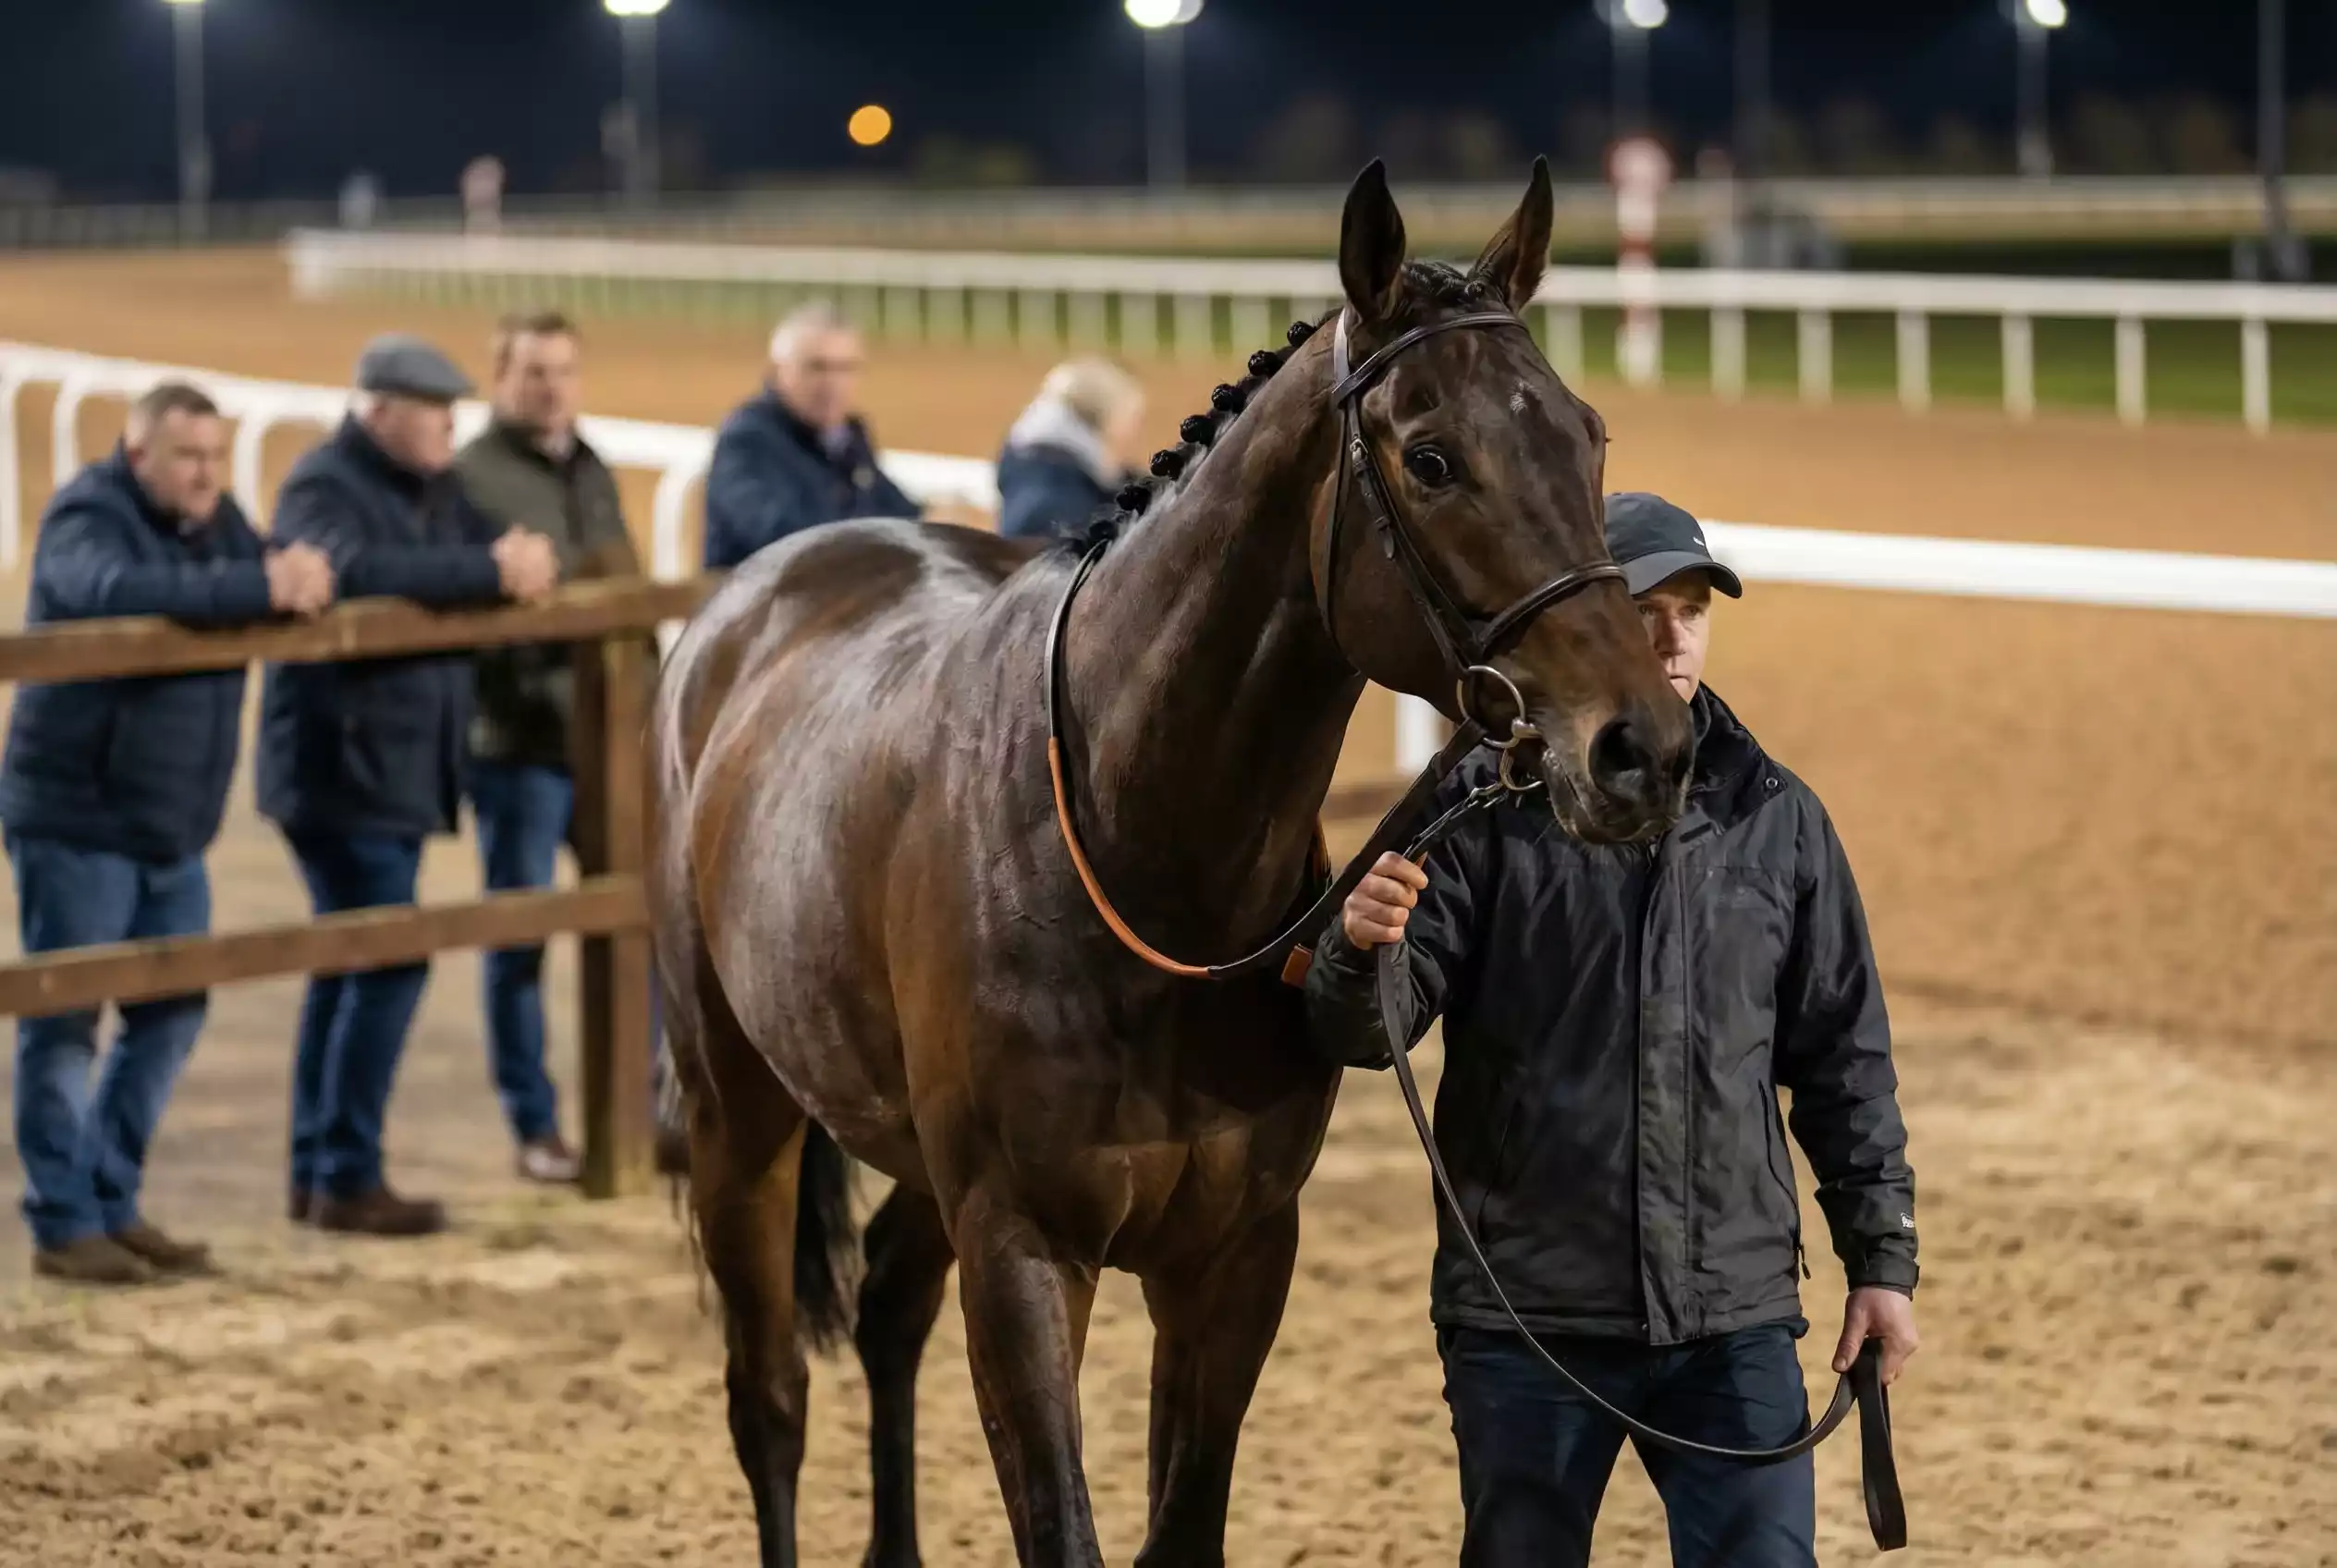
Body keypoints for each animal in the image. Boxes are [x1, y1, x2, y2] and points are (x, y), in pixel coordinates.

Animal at [647, 159, 1695, 1567]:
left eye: (1586, 437)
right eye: (1430, 457)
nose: (1641, 749)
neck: (1140, 860)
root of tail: (754, 596)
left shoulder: (1235, 1256)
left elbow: (1181, 1523)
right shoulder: (1025, 1249)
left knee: (885, 1311)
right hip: (737, 1109)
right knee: (768, 1398)